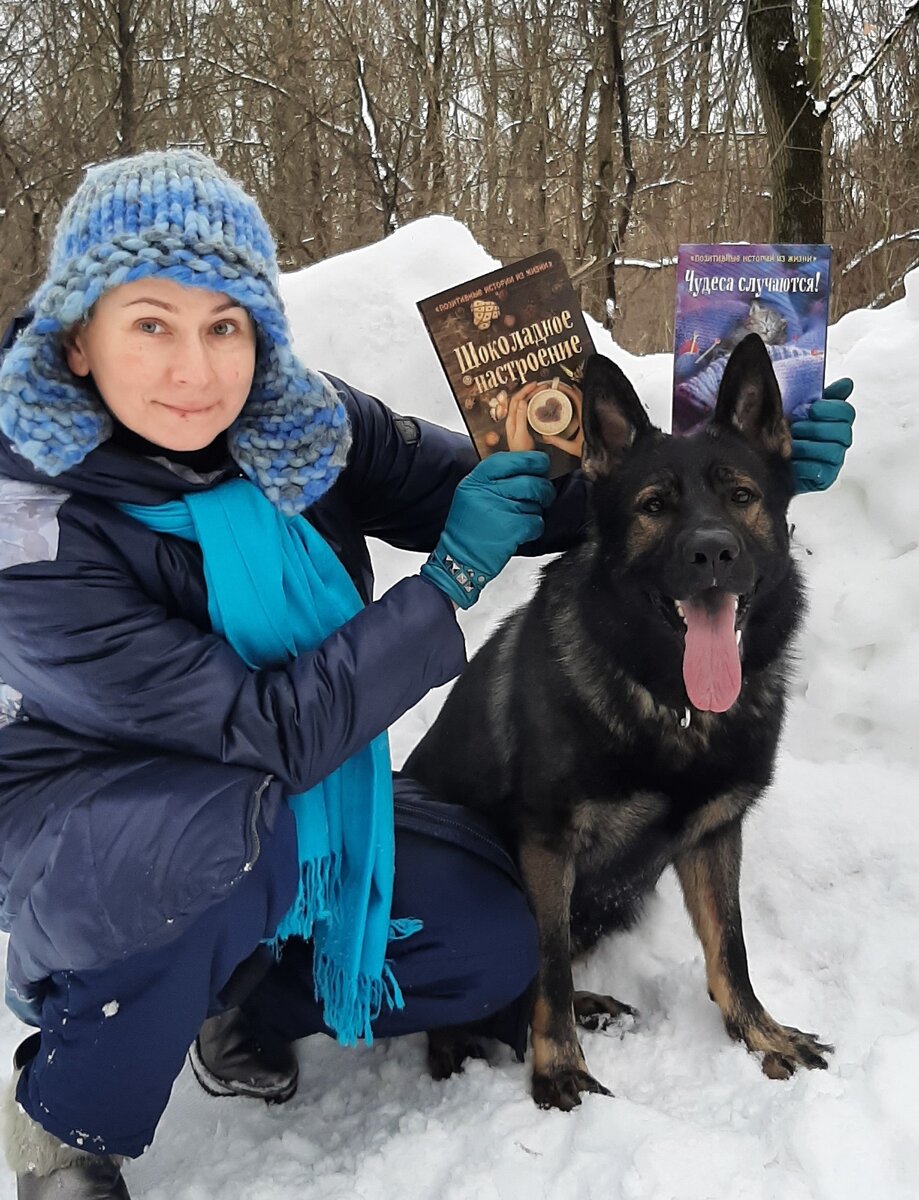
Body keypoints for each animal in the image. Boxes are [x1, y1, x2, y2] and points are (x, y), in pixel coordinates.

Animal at [407, 336, 830, 1104]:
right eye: (653, 506)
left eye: (741, 496)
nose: (712, 552)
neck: (674, 705)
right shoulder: (547, 845)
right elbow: (545, 960)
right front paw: (558, 1071)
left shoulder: (714, 834)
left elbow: (730, 947)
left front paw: (759, 1034)